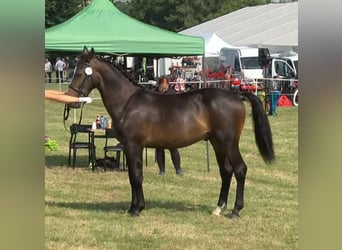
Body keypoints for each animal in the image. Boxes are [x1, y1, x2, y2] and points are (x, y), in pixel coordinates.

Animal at [67, 46, 276, 217]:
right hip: (217, 143)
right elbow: (132, 177)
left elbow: (136, 176)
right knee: (226, 172)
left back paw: (235, 211)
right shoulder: (127, 147)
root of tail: (236, 95)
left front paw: (137, 209)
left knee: (240, 170)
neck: (128, 102)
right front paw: (133, 206)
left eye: (82, 72)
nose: (71, 99)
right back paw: (218, 208)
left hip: (229, 143)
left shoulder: (134, 145)